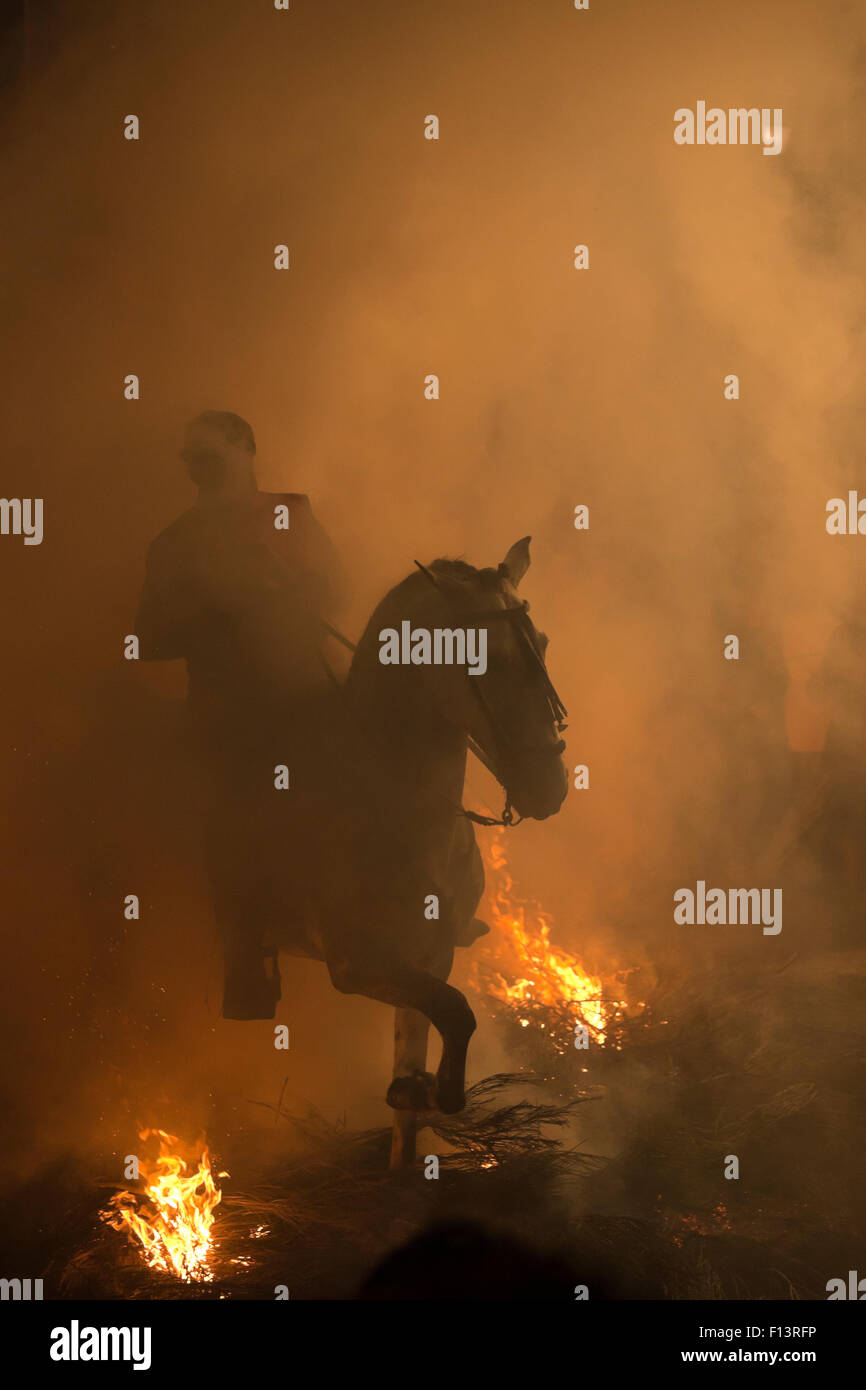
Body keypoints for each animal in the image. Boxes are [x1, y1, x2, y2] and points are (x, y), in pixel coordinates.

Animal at [226, 530, 572, 1150]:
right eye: (488, 659)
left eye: (544, 644)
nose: (550, 786)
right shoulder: (357, 963)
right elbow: (458, 1015)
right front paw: (431, 1092)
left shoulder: (430, 955)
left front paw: (414, 1096)